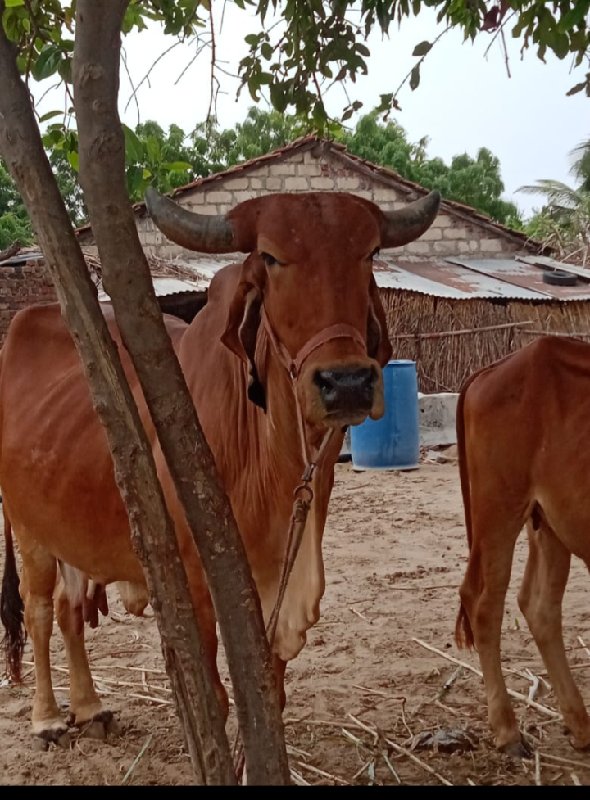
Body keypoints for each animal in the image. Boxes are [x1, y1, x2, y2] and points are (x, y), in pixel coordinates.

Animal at [2, 188, 442, 744]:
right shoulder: (197, 577)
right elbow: (214, 693)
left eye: (369, 254)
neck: (271, 462)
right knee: (39, 608)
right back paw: (47, 717)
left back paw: (89, 706)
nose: (346, 383)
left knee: (68, 607)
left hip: (68, 528)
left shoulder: (282, 573)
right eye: (271, 258)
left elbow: (269, 688)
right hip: (27, 528)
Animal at [458, 334, 590, 760]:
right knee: (483, 603)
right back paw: (508, 731)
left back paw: (580, 726)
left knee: (539, 607)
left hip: (549, 522)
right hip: (499, 508)